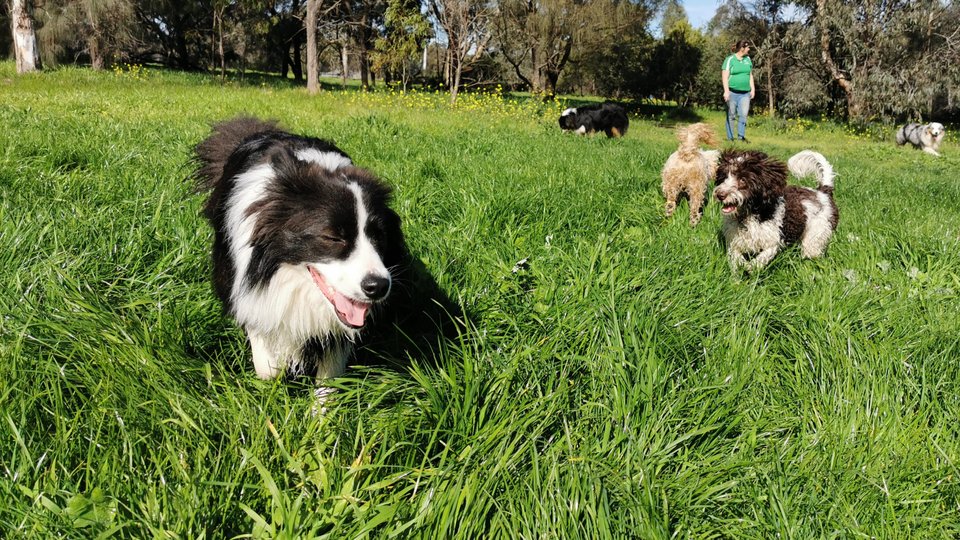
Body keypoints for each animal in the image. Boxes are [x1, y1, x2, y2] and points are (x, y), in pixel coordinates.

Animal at [195, 116, 404, 390]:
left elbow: (330, 374)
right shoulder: (246, 286)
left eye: (379, 236)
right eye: (333, 237)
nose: (378, 286)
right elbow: (267, 365)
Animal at [712, 150, 840, 272]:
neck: (749, 214)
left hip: (816, 236)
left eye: (742, 179)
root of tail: (823, 192)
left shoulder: (773, 241)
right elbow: (735, 259)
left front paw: (751, 267)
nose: (720, 195)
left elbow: (762, 258)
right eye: (724, 177)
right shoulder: (734, 242)